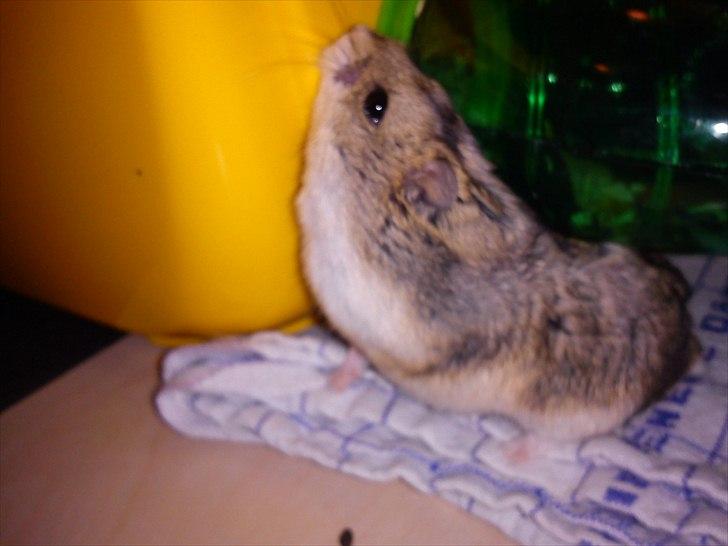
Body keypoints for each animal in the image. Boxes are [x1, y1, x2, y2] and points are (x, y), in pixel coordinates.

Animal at [296, 26, 698, 440]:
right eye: (431, 81)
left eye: (376, 105)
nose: (359, 32)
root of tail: (688, 344)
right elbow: (356, 351)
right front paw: (333, 382)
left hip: (571, 415)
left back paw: (514, 450)